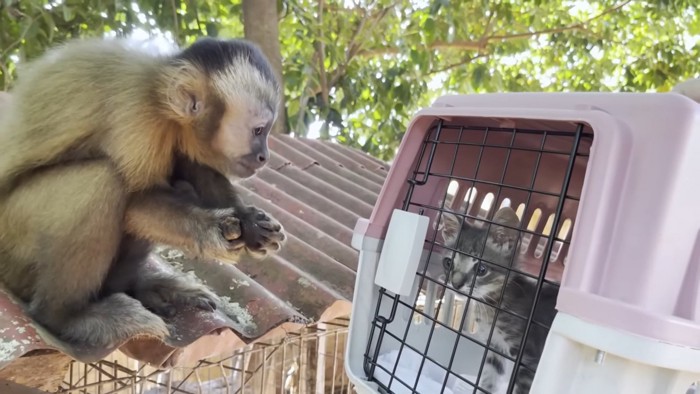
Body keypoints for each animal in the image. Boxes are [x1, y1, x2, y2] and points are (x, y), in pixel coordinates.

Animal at [0, 37, 288, 350]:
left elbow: (190, 165)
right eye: (258, 131)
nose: (264, 157)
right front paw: (212, 230)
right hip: (12, 241)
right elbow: (136, 200)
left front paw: (250, 222)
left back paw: (135, 287)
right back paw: (64, 316)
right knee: (101, 181)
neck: (160, 98)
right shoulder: (138, 117)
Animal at [440, 208, 560, 392]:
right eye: (448, 263)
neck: (493, 305)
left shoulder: (528, 361)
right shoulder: (495, 349)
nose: (456, 284)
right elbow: (488, 381)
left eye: (481, 269)